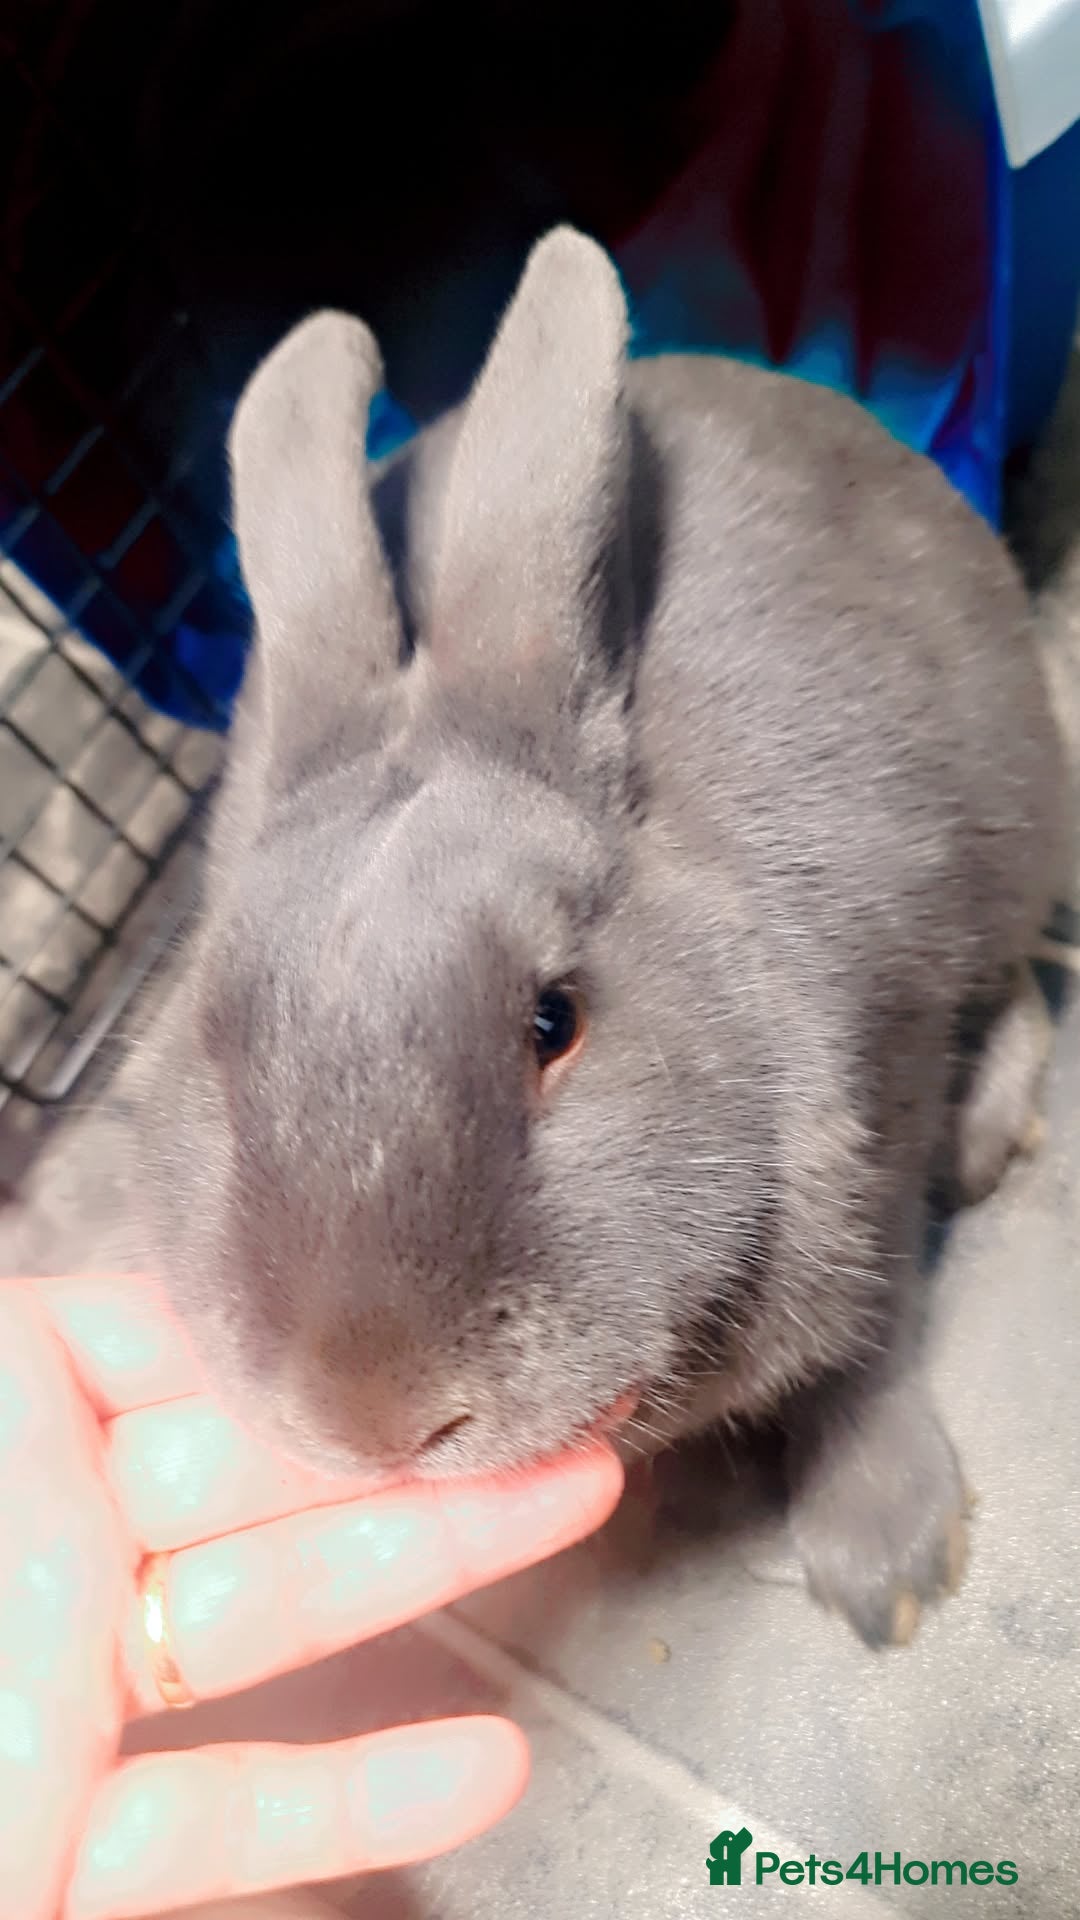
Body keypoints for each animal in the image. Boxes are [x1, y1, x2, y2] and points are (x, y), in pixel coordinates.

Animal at [135, 226, 1068, 1647]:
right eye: (219, 1065)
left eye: (554, 1022)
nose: (378, 1415)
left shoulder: (884, 1091)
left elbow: (869, 1336)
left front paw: (888, 1569)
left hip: (1013, 802)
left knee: (1020, 980)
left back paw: (989, 1134)